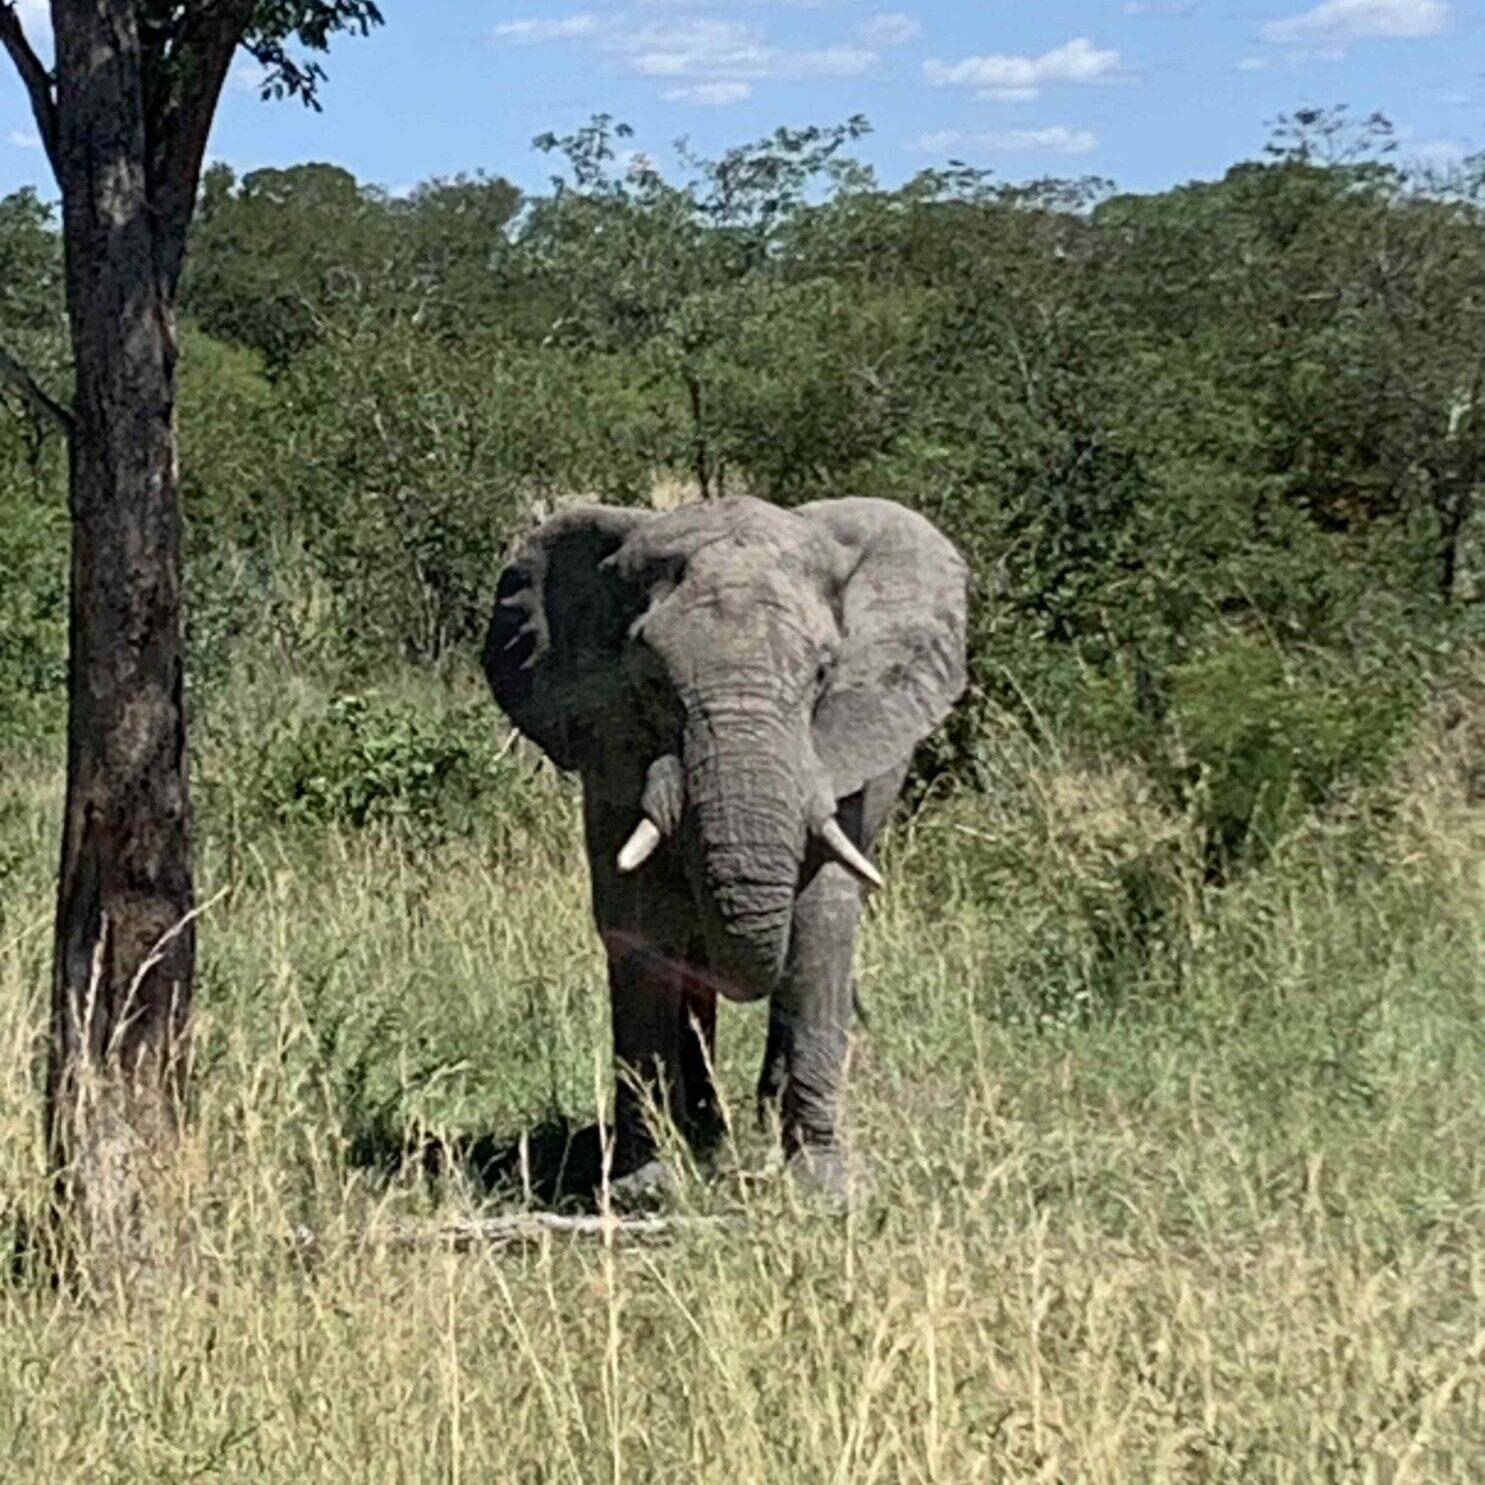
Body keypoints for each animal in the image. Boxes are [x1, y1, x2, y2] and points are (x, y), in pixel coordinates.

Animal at [487, 493, 968, 1199]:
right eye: (651, 680)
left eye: (823, 673)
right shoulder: (611, 749)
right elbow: (638, 926)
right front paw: (647, 1186)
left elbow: (822, 923)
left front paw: (821, 1189)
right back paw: (706, 1130)